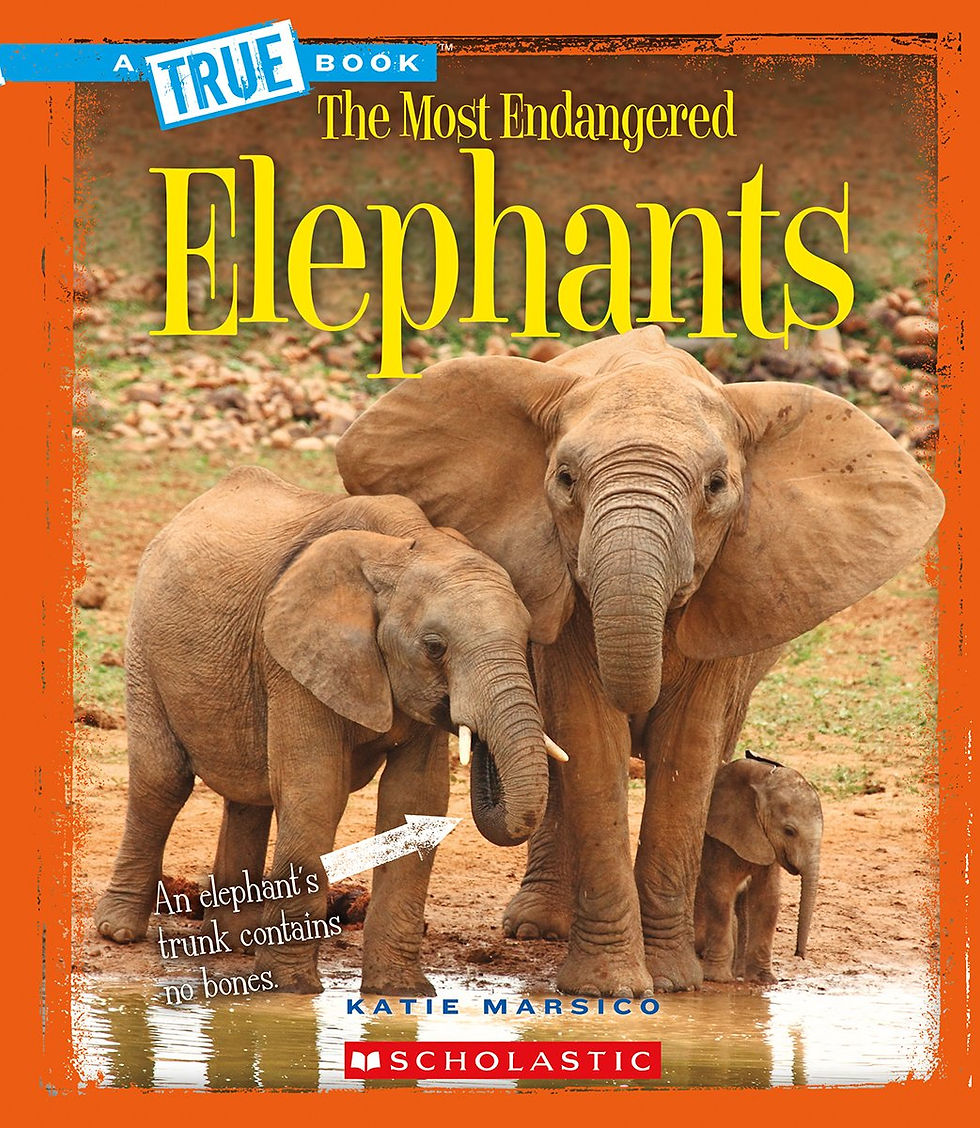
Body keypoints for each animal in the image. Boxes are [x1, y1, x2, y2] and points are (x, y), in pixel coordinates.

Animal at [95, 466, 561, 995]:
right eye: (434, 646)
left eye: (526, 638)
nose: (477, 737)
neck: (406, 546)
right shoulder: (292, 657)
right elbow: (314, 792)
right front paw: (292, 989)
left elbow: (415, 800)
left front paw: (400, 992)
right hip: (144, 644)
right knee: (163, 781)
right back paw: (120, 931)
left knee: (250, 795)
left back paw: (238, 942)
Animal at [694, 753, 823, 984]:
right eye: (789, 831)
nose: (799, 954)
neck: (761, 778)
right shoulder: (718, 837)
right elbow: (721, 893)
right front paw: (718, 978)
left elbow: (767, 899)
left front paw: (764, 980)